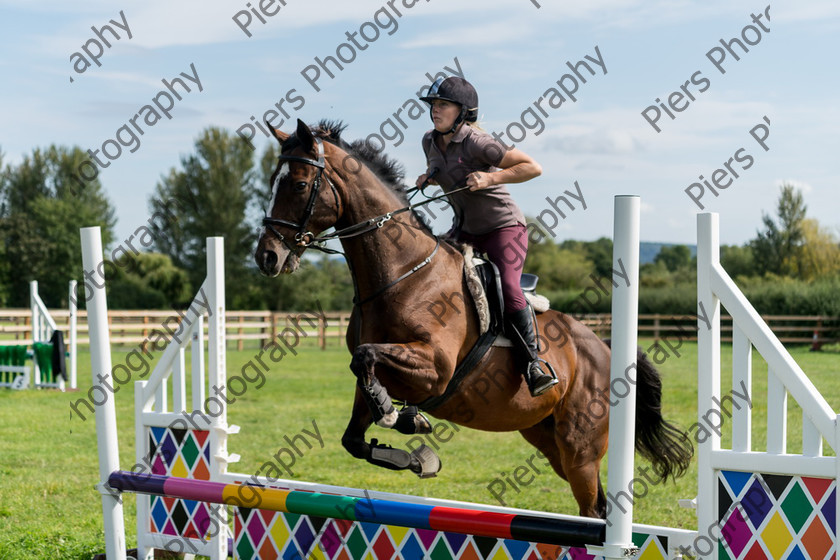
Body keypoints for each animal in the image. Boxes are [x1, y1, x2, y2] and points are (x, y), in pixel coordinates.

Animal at [253, 118, 692, 516]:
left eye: (298, 184)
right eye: (274, 180)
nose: (267, 257)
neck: (404, 273)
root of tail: (604, 348)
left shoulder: (436, 367)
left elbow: (367, 356)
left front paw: (404, 420)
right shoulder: (378, 376)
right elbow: (356, 430)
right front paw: (415, 449)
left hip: (580, 446)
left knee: (592, 508)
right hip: (545, 436)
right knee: (593, 503)